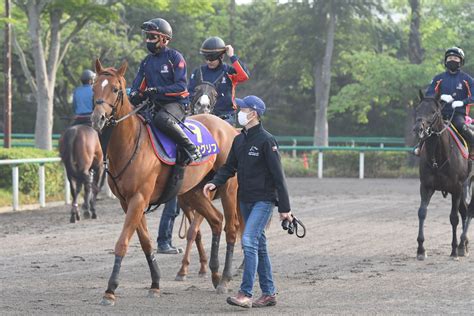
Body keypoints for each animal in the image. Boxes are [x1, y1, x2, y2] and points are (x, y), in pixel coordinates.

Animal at [90, 59, 241, 306]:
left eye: (115, 89)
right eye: (94, 87)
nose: (98, 118)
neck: (131, 144)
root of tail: (228, 129)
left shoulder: (139, 199)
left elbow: (122, 243)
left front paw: (110, 290)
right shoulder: (127, 202)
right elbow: (145, 242)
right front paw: (155, 284)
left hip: (229, 188)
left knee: (231, 228)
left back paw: (226, 278)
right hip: (194, 192)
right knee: (216, 220)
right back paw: (215, 274)